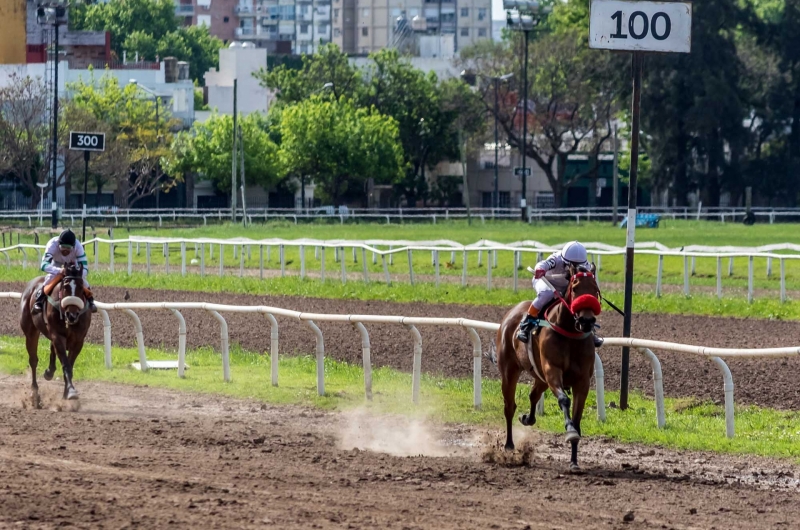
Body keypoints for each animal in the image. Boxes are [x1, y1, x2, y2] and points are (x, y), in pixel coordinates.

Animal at [19, 260, 91, 404]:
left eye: (81, 287)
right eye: (65, 287)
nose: (72, 315)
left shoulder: (78, 340)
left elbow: (69, 364)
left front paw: (67, 392)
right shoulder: (58, 335)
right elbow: (66, 364)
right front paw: (71, 391)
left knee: (51, 349)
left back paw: (49, 372)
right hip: (31, 332)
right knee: (33, 360)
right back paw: (35, 393)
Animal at [494, 262, 600, 466]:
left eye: (595, 290)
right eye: (575, 288)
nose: (587, 321)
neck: (569, 332)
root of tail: (513, 310)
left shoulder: (582, 381)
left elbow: (577, 418)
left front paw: (574, 460)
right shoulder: (552, 371)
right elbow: (564, 400)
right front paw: (570, 431)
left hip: (540, 377)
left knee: (533, 395)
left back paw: (528, 418)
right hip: (510, 370)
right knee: (509, 406)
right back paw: (509, 444)